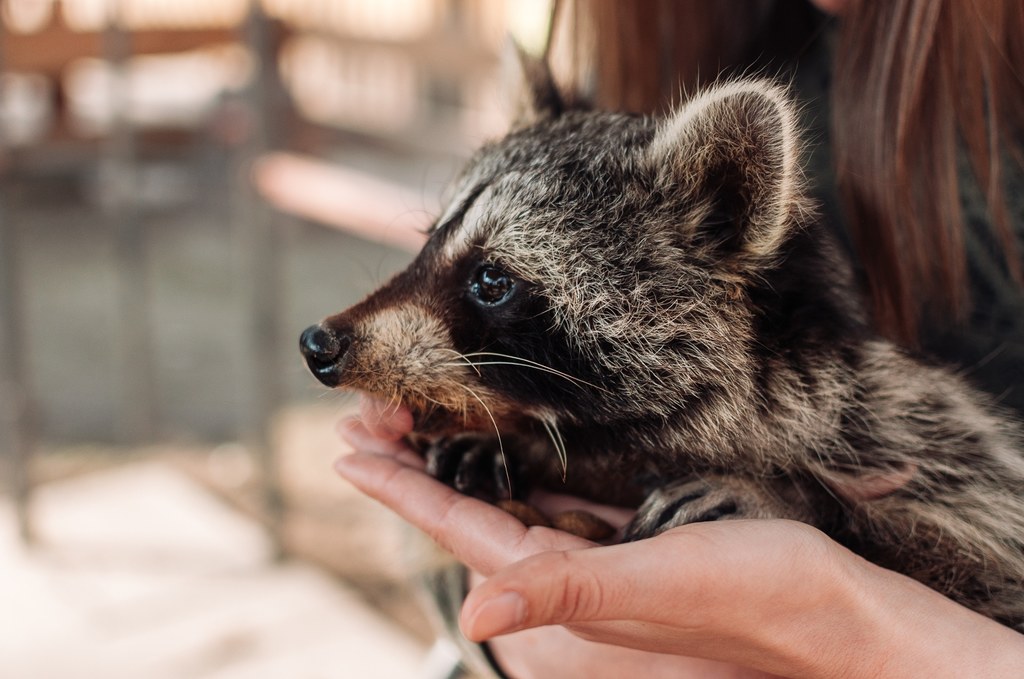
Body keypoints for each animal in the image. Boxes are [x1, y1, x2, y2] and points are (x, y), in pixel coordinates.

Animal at [299, 66, 1024, 630]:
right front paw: (507, 446)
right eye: (429, 240)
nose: (320, 342)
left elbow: (984, 562)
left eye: (492, 279)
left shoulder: (909, 423)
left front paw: (796, 500)